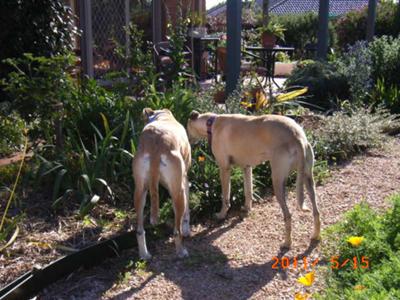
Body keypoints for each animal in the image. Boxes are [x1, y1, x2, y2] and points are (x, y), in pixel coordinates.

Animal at [133, 109, 192, 258]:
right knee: (176, 231)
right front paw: (187, 229)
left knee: (140, 230)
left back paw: (144, 254)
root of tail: (156, 144)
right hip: (178, 193)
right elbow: (186, 212)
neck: (161, 116)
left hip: (140, 191)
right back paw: (181, 251)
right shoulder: (184, 181)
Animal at [186, 111, 320, 247]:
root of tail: (298, 137)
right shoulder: (247, 167)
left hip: (278, 182)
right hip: (308, 180)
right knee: (316, 211)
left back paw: (287, 243)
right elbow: (248, 191)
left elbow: (225, 197)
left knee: (288, 216)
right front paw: (247, 209)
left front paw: (221, 215)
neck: (212, 123)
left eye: (186, 127)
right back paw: (315, 236)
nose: (188, 143)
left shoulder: (224, 169)